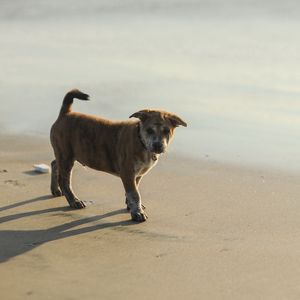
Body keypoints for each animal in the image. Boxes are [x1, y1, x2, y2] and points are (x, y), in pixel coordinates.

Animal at [50, 88, 186, 221]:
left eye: (166, 131)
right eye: (149, 130)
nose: (158, 145)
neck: (141, 141)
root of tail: (65, 114)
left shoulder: (136, 175)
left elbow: (133, 191)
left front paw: (131, 207)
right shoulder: (127, 172)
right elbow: (134, 194)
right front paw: (137, 213)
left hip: (64, 154)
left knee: (54, 164)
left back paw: (55, 190)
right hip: (66, 156)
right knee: (64, 180)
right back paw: (74, 201)